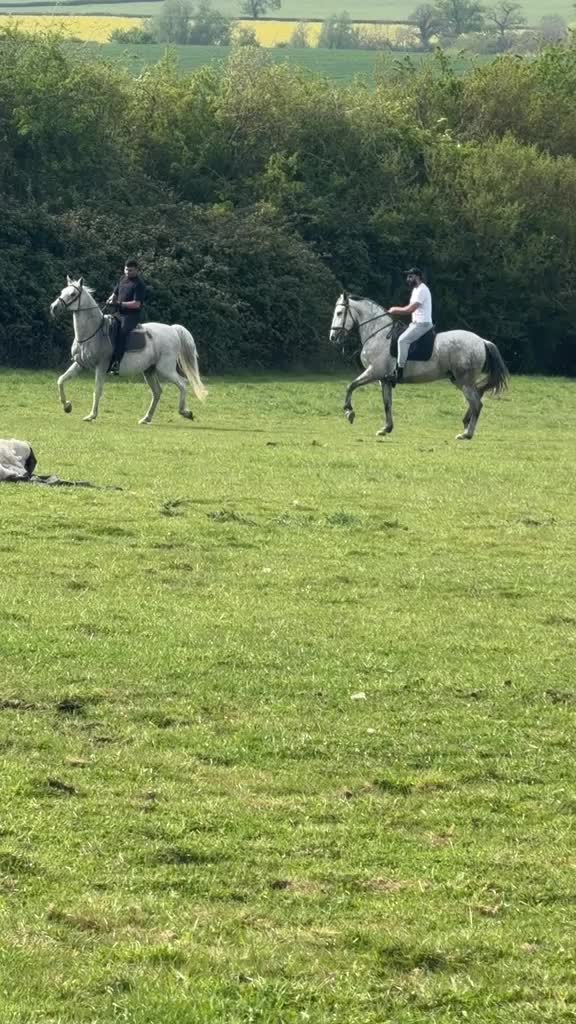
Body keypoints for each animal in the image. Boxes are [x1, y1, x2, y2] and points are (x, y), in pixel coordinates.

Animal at [50, 277, 207, 424]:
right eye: (62, 291)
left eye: (72, 294)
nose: (54, 307)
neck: (93, 332)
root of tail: (173, 330)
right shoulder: (80, 364)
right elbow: (61, 380)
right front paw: (67, 406)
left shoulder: (101, 367)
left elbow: (97, 390)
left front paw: (91, 416)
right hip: (149, 370)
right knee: (157, 392)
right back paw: (146, 418)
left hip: (165, 369)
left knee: (182, 384)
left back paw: (185, 412)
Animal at [329, 292, 509, 440]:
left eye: (339, 313)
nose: (333, 337)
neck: (378, 335)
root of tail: (482, 341)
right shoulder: (384, 380)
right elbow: (387, 404)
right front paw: (386, 428)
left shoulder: (373, 372)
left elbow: (350, 386)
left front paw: (349, 412)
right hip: (461, 380)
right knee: (477, 397)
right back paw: (465, 425)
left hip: (464, 380)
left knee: (476, 403)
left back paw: (466, 434)